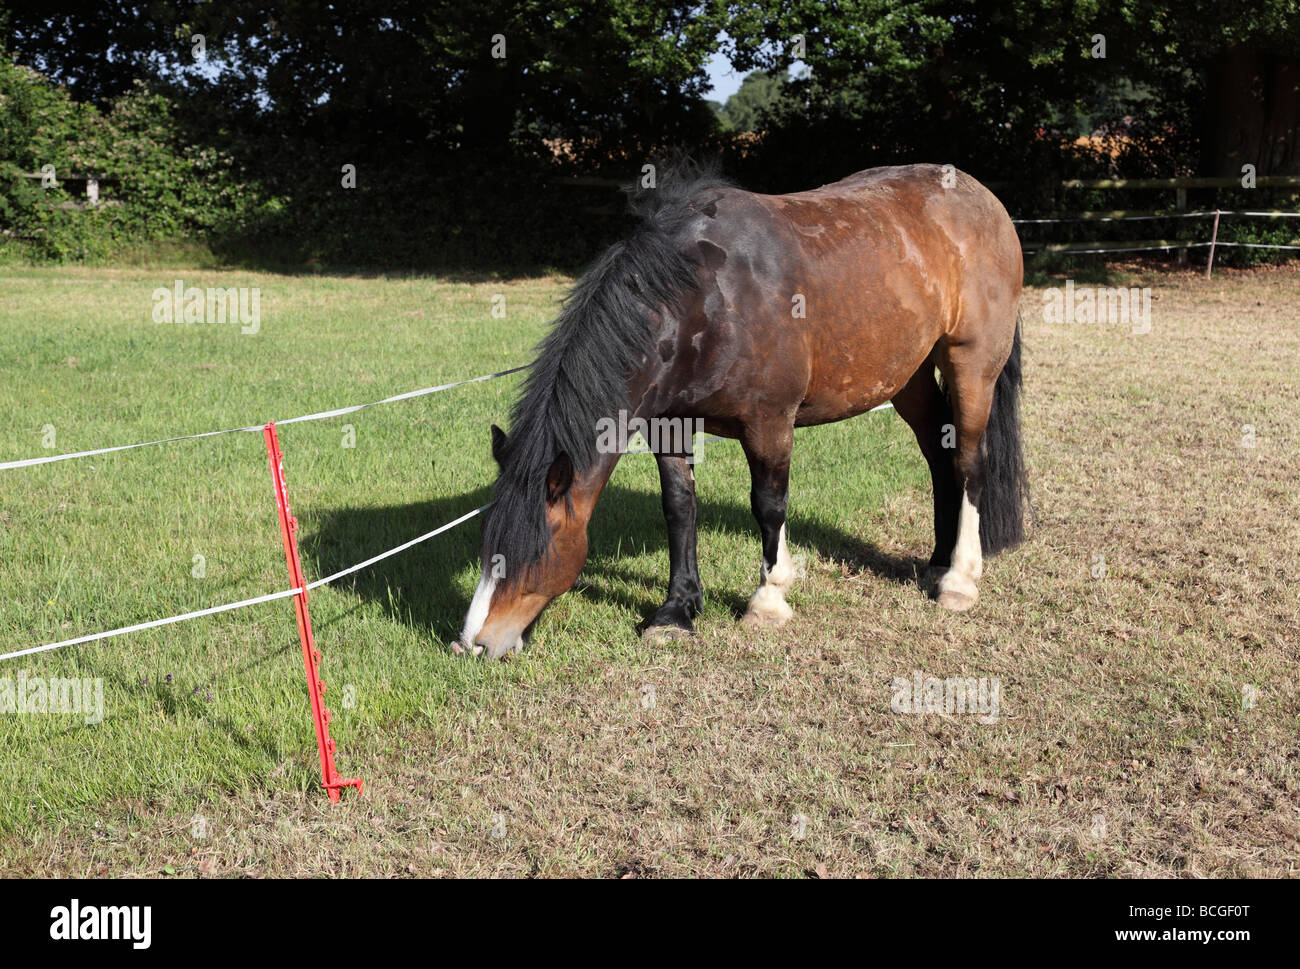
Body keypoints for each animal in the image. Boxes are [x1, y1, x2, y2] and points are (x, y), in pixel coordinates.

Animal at [457, 164, 1024, 658]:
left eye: (536, 549)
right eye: (486, 546)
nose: (472, 644)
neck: (707, 298)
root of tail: (983, 199)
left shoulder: (769, 423)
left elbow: (768, 505)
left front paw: (768, 600)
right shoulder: (668, 424)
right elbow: (679, 508)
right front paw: (677, 610)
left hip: (971, 365)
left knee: (968, 462)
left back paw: (958, 580)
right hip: (908, 377)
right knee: (939, 457)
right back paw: (935, 564)